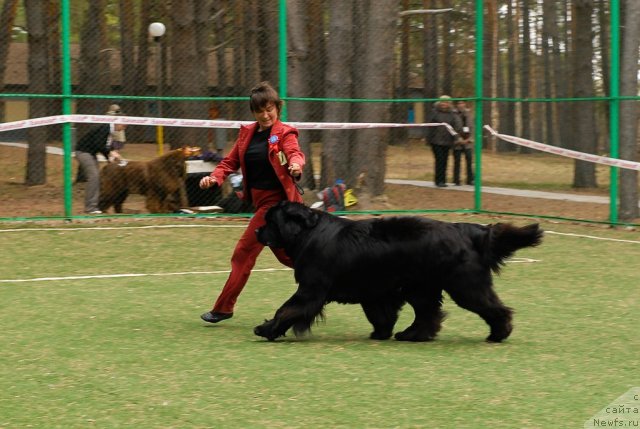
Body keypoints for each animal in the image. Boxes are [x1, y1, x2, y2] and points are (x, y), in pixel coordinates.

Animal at [252, 200, 544, 342]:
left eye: (270, 221)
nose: (256, 231)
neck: (308, 233)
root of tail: (467, 229)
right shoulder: (375, 292)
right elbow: (381, 315)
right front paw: (381, 334)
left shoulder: (311, 289)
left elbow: (287, 309)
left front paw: (266, 329)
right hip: (421, 287)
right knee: (428, 314)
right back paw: (412, 336)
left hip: (464, 285)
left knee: (493, 308)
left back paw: (499, 333)